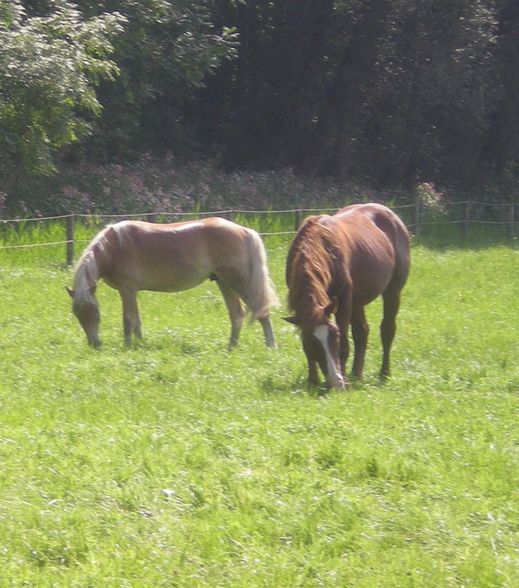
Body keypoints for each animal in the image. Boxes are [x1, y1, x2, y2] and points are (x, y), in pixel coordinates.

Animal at [66, 219, 278, 350]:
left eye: (95, 313)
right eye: (77, 315)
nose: (94, 344)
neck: (114, 247)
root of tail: (245, 231)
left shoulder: (127, 290)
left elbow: (128, 320)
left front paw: (127, 346)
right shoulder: (132, 292)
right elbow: (137, 320)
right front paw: (140, 345)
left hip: (237, 281)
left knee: (260, 310)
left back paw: (270, 346)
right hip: (224, 282)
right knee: (237, 315)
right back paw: (231, 347)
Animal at [284, 203, 410, 390]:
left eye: (334, 335)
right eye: (312, 341)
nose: (335, 380)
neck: (324, 248)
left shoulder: (343, 301)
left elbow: (345, 343)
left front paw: (342, 379)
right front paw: (313, 380)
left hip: (392, 292)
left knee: (387, 330)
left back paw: (384, 373)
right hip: (357, 301)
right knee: (362, 332)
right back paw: (357, 374)